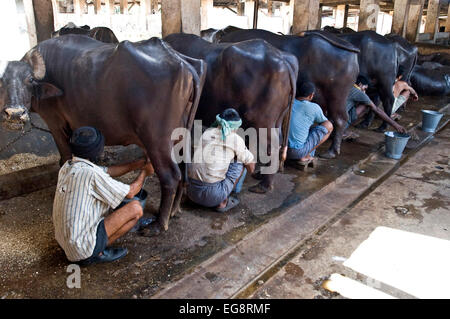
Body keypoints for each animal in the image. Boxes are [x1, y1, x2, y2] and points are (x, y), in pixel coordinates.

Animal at [0, 35, 206, 232]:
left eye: (29, 80)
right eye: (0, 82)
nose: (15, 114)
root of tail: (182, 62)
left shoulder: (55, 124)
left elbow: (64, 159)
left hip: (157, 140)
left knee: (171, 175)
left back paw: (159, 224)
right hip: (182, 135)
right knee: (183, 168)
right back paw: (174, 210)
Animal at [163, 33, 298, 192]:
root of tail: (283, 60)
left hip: (263, 119)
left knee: (272, 145)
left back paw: (264, 185)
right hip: (279, 117)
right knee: (279, 137)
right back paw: (261, 175)